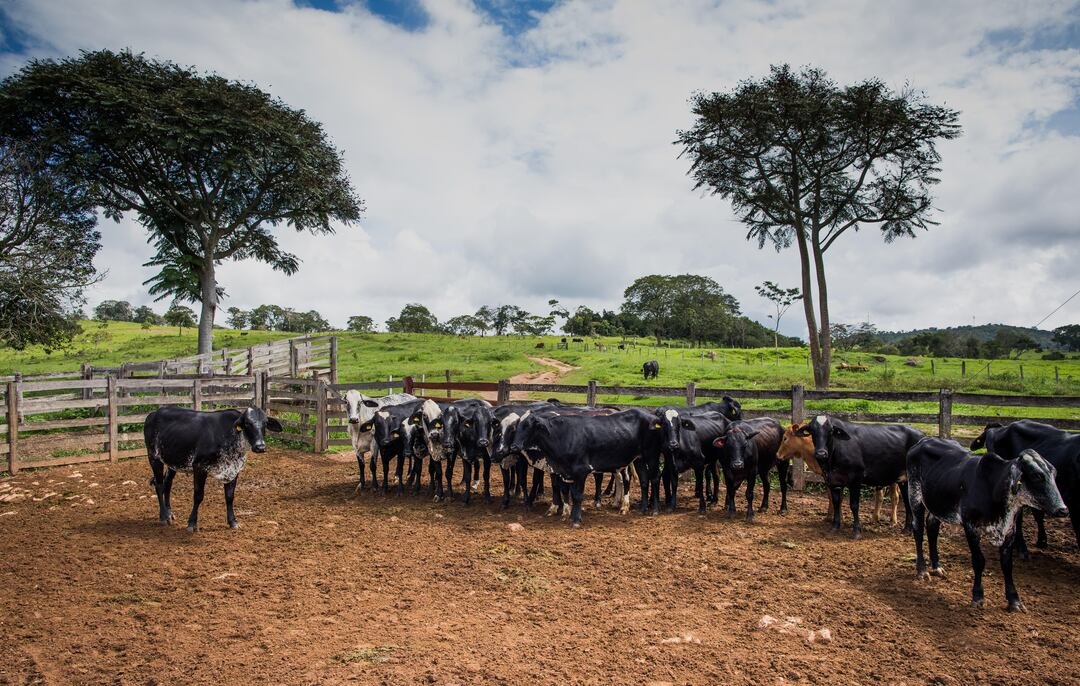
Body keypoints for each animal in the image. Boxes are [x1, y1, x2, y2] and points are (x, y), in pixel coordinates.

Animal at [143, 406, 282, 533]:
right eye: (247, 423)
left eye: (265, 424)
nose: (260, 447)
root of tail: (154, 413)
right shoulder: (199, 467)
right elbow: (198, 496)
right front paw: (192, 523)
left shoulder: (233, 470)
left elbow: (229, 497)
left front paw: (233, 522)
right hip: (153, 457)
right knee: (159, 484)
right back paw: (163, 516)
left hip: (173, 462)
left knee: (167, 484)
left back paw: (169, 513)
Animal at [790, 417, 924, 540]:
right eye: (812, 430)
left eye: (831, 430)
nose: (821, 453)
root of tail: (922, 434)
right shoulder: (833, 481)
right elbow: (836, 502)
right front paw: (835, 526)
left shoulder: (855, 479)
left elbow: (854, 505)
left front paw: (856, 531)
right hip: (904, 480)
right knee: (908, 502)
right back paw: (907, 530)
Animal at [907, 434, 1067, 613]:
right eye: (1036, 476)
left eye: (1054, 474)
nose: (1062, 509)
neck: (994, 489)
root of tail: (922, 441)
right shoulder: (971, 527)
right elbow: (979, 561)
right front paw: (978, 596)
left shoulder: (1010, 530)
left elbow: (1007, 564)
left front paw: (1014, 600)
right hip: (915, 496)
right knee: (918, 530)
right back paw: (922, 570)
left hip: (937, 503)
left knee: (932, 528)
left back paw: (936, 567)